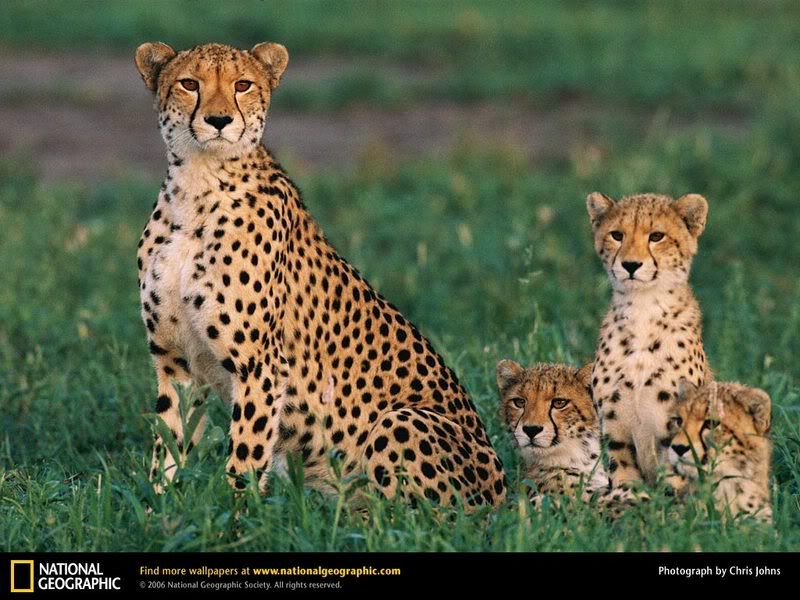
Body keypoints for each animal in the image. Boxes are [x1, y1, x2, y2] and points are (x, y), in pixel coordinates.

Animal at [133, 41, 507, 509]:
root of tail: (504, 494)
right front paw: (159, 507)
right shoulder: (175, 360)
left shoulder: (261, 367)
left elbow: (244, 455)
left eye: (243, 85)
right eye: (189, 83)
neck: (198, 185)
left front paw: (235, 514)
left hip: (400, 421)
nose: (219, 120)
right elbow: (169, 441)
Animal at [586, 192, 712, 487]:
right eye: (617, 235)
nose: (631, 265)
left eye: (656, 236)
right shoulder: (615, 429)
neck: (643, 309)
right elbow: (624, 477)